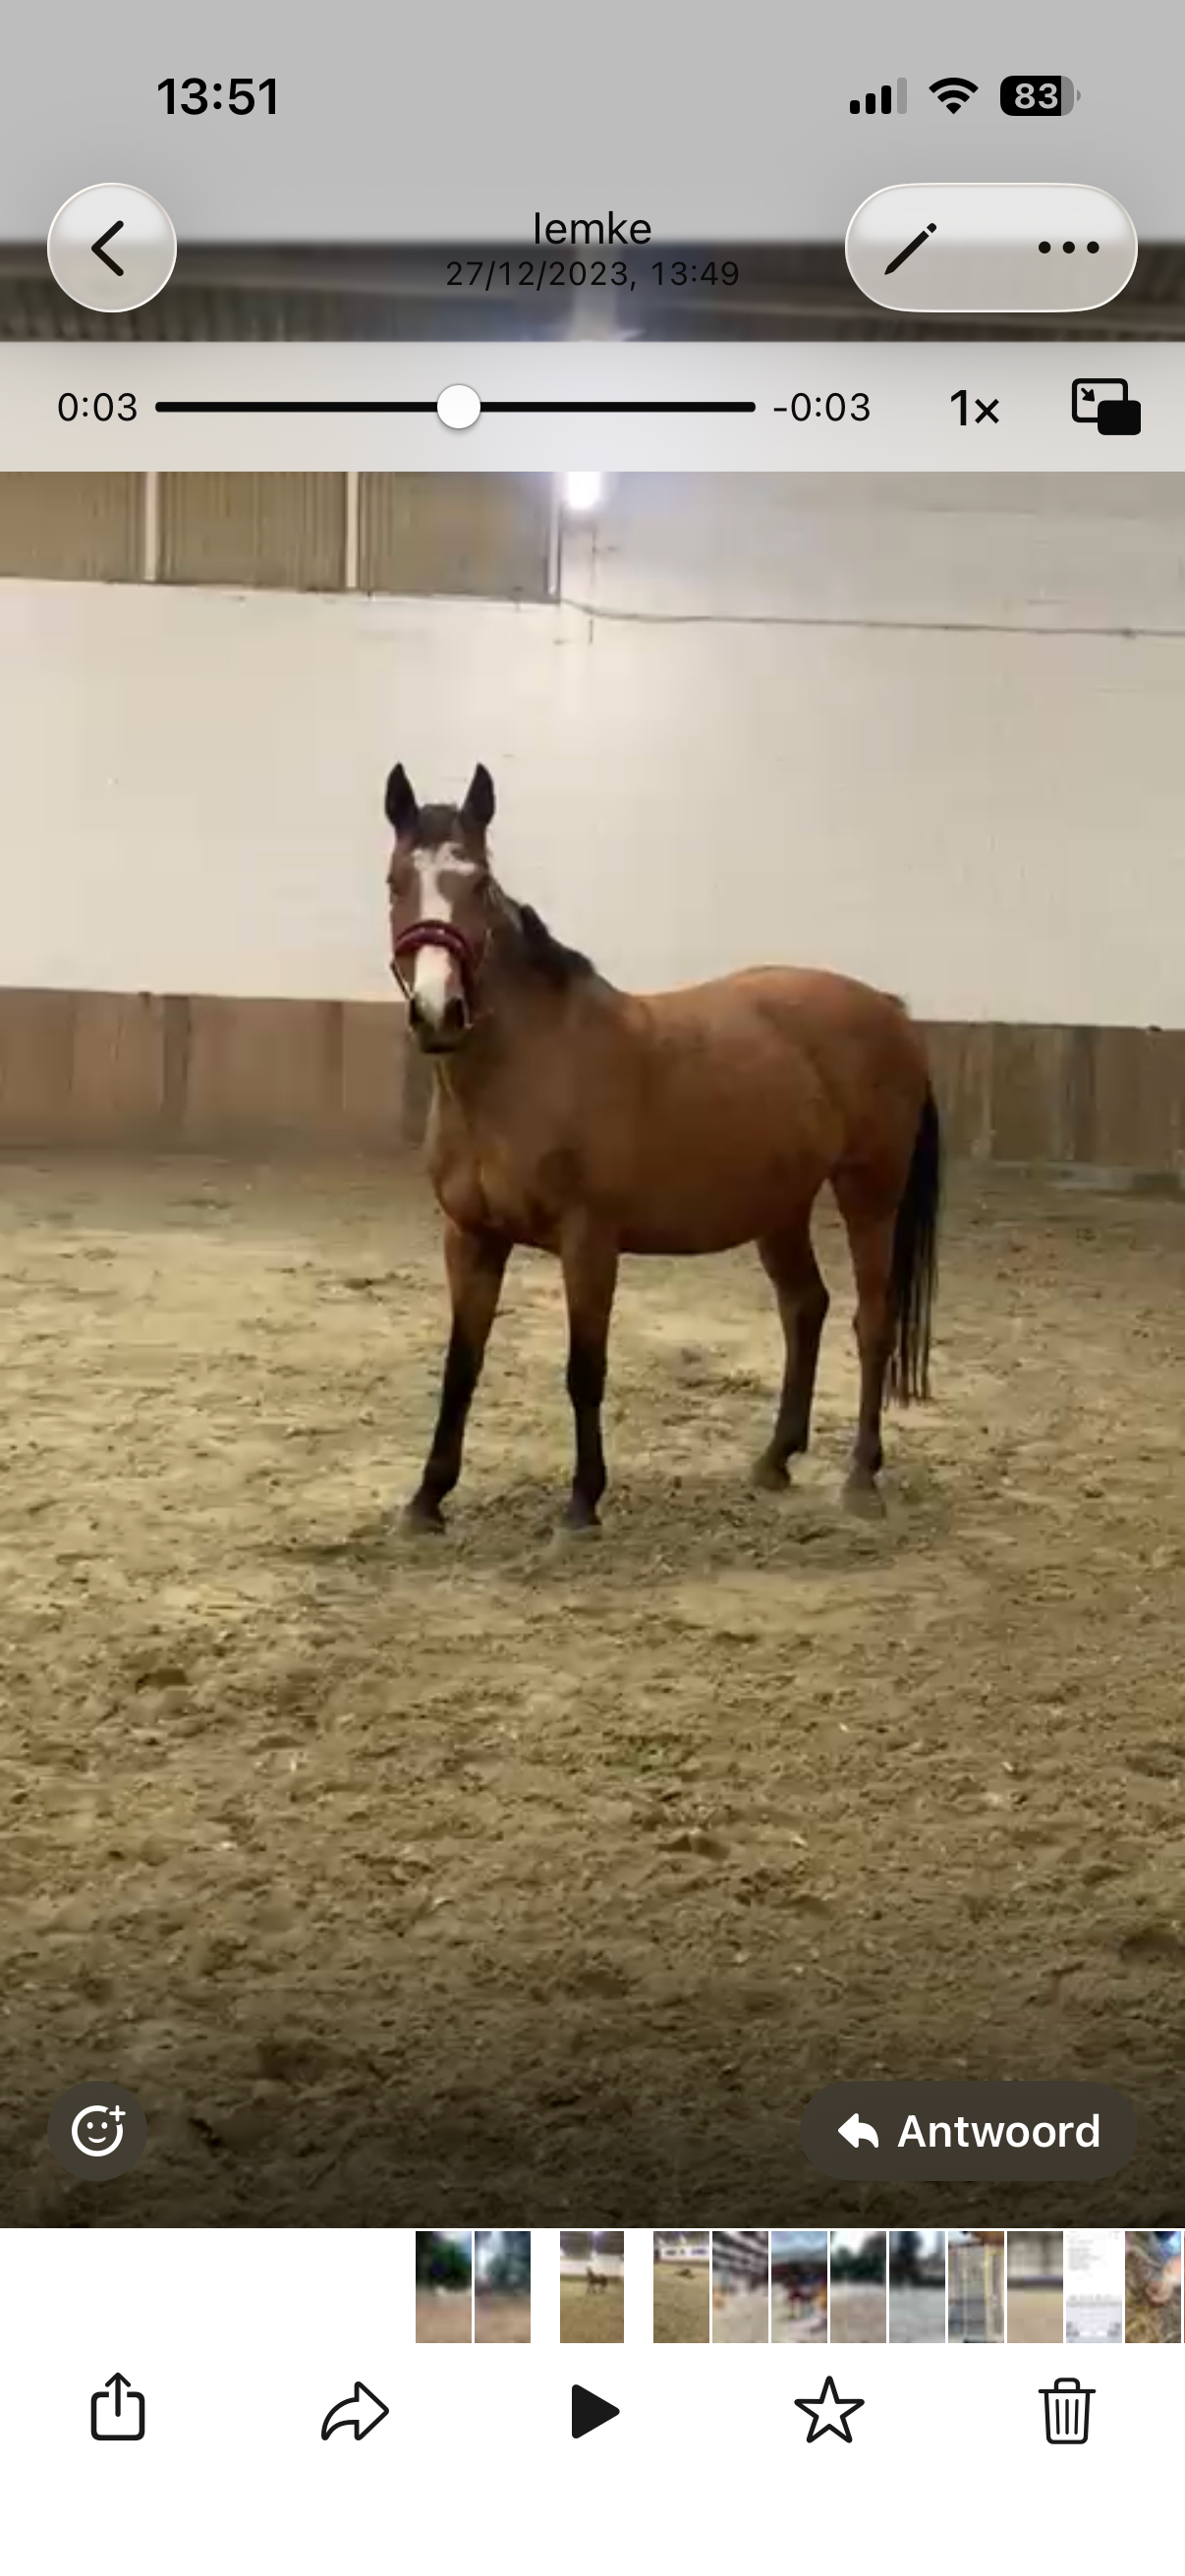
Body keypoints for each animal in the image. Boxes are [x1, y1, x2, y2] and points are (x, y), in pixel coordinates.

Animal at [386, 760, 940, 1532]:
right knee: (805, 1308)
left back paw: (861, 1476)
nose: (439, 1013)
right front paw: (427, 1499)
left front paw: (582, 1504)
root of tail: (889, 1010)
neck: (526, 1067)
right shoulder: (469, 1236)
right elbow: (460, 1367)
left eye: (480, 884)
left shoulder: (589, 1240)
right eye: (395, 882)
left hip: (870, 1196)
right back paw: (775, 1459)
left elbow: (585, 1368)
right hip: (781, 1206)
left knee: (872, 1321)